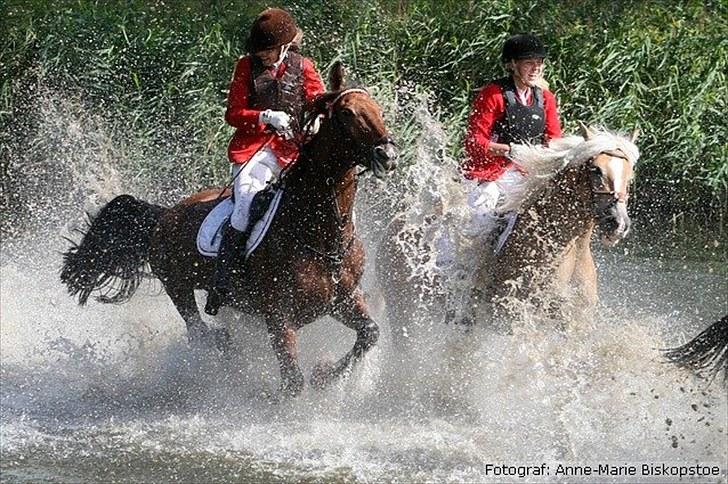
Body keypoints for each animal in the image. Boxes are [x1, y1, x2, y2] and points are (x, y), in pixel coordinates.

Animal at [59, 63, 396, 398]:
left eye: (378, 109)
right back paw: (226, 350)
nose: (388, 156)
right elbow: (293, 382)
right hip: (177, 285)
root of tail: (164, 215)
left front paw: (324, 375)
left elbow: (370, 333)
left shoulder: (343, 300)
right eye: (347, 113)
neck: (321, 237)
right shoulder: (279, 317)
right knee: (198, 332)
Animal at [376, 124, 636, 340]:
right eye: (595, 170)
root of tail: (395, 224)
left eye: (630, 175)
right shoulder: (509, 319)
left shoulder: (575, 323)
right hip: (402, 308)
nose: (618, 224)